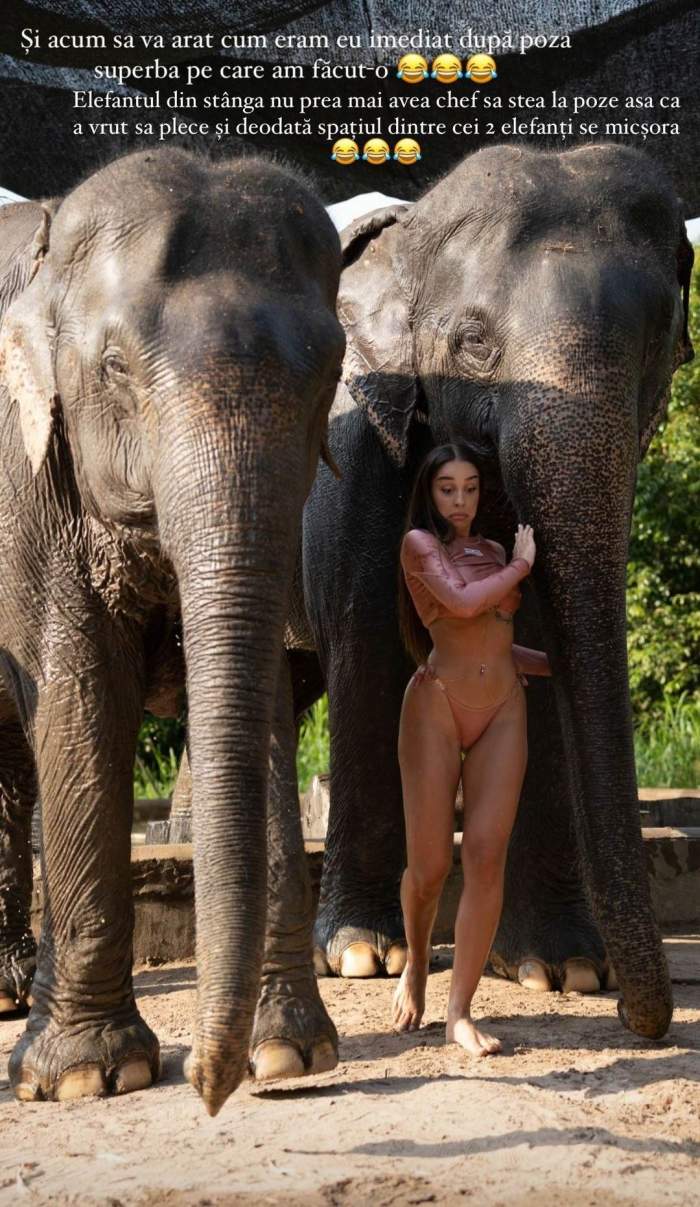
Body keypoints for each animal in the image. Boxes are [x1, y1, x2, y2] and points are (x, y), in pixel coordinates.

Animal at [0, 146, 345, 1112]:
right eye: (115, 366)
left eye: (331, 374)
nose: (207, 1089)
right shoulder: (29, 481)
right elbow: (79, 694)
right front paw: (90, 1076)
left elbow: (255, 698)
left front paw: (287, 1055)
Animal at [285, 142, 693, 1042]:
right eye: (472, 342)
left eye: (656, 343)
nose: (641, 1016)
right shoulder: (354, 449)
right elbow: (367, 643)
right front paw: (361, 954)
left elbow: (533, 643)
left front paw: (563, 968)